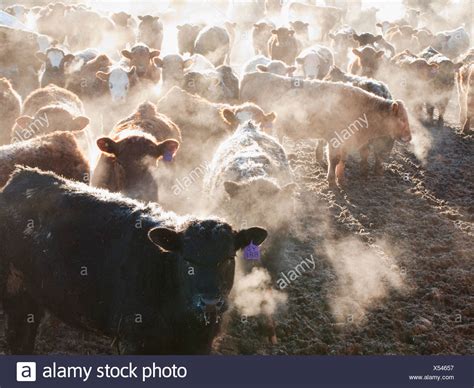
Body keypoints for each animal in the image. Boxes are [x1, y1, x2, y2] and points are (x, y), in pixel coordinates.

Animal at [0, 167, 266, 354]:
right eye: (187, 260)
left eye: (229, 258)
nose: (210, 303)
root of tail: (23, 175)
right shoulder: (134, 340)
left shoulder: (201, 345)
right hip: (14, 293)